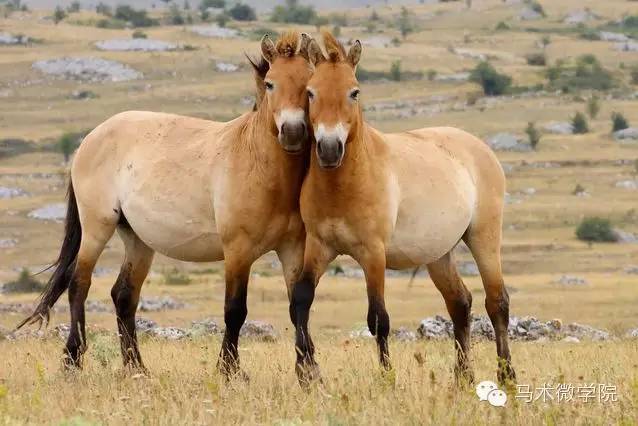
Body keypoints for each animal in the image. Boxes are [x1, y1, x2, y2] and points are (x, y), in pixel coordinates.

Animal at [21, 33, 316, 380]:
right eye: (270, 84)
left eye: (309, 85)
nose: (293, 132)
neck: (256, 163)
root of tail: (90, 138)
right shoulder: (238, 251)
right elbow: (235, 310)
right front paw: (229, 371)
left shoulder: (292, 249)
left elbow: (298, 306)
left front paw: (309, 371)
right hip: (97, 228)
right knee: (78, 285)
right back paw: (72, 360)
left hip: (137, 239)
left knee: (123, 296)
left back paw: (136, 367)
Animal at [292, 32, 516, 386]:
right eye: (311, 92)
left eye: (354, 92)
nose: (329, 149)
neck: (344, 185)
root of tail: (480, 147)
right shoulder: (319, 247)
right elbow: (301, 300)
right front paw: (306, 374)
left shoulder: (373, 254)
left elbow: (378, 319)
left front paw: (387, 378)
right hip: (439, 254)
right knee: (460, 303)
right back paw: (462, 377)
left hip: (484, 237)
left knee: (497, 303)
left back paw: (506, 375)